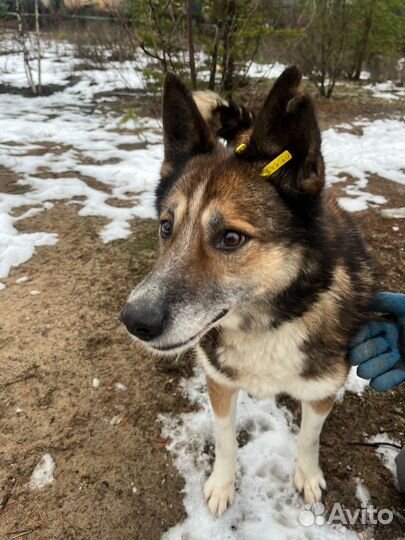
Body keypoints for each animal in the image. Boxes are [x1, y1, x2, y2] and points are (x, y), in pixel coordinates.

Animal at [118, 65, 374, 516]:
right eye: (166, 226)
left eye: (232, 238)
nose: (134, 321)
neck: (268, 324)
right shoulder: (219, 382)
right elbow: (225, 440)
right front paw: (222, 484)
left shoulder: (322, 390)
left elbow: (309, 438)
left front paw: (307, 475)